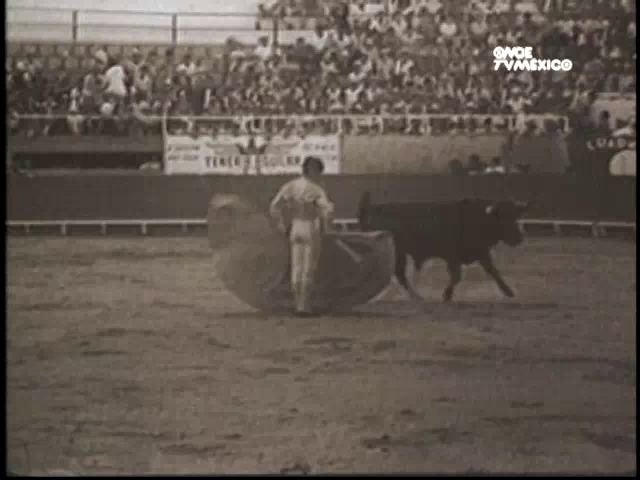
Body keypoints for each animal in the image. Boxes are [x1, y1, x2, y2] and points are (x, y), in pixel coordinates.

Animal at [356, 192, 528, 302]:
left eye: (515, 216)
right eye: (502, 218)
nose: (519, 239)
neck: (477, 218)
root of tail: (371, 210)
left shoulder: (481, 252)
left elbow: (493, 271)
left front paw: (509, 292)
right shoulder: (452, 256)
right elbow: (456, 276)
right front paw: (446, 295)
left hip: (399, 254)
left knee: (398, 274)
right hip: (398, 253)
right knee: (399, 274)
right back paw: (415, 297)